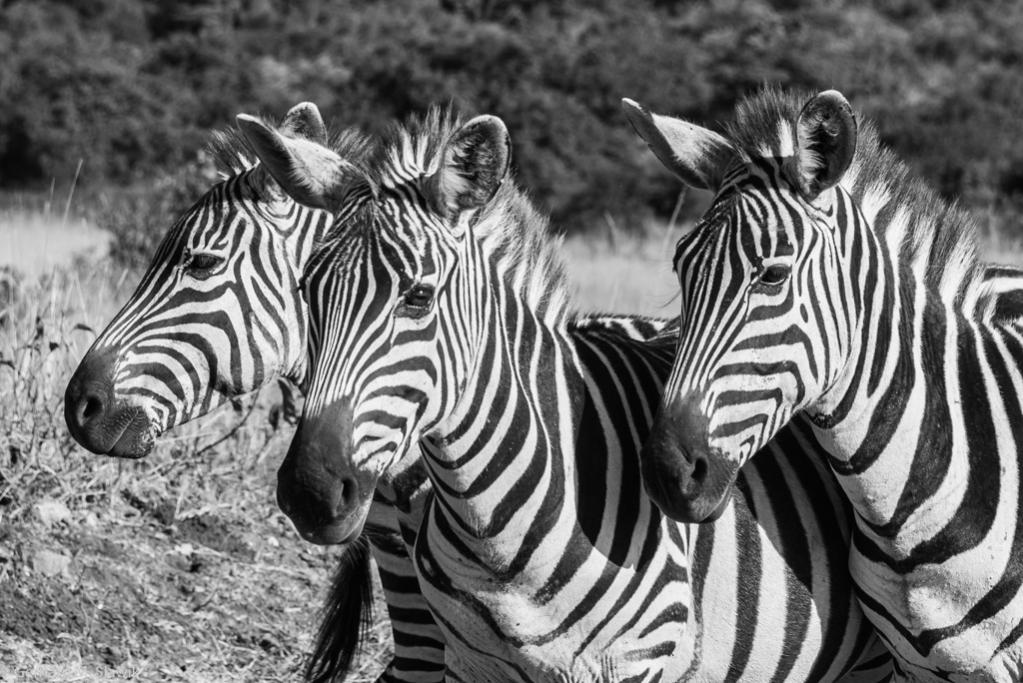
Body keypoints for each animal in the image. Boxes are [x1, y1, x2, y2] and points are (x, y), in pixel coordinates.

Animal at [242, 106, 893, 681]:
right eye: (307, 291)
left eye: (418, 297)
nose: (309, 491)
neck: (499, 531)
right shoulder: (470, 659)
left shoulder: (637, 661)